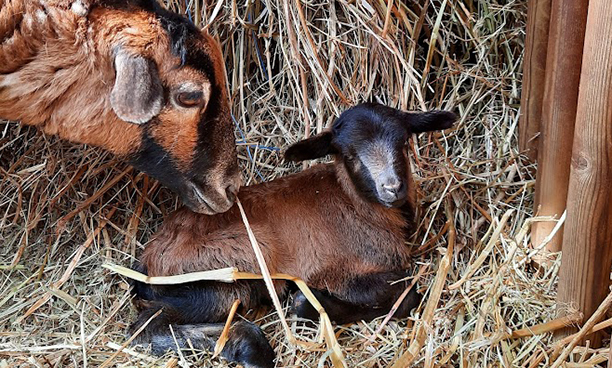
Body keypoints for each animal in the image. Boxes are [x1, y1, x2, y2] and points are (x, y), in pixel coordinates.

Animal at [129, 102, 454, 366]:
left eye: (403, 141)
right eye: (350, 155)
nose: (392, 187)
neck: (356, 202)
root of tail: (146, 261)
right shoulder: (336, 271)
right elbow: (406, 293)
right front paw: (308, 305)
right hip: (219, 277)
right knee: (145, 328)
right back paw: (250, 348)